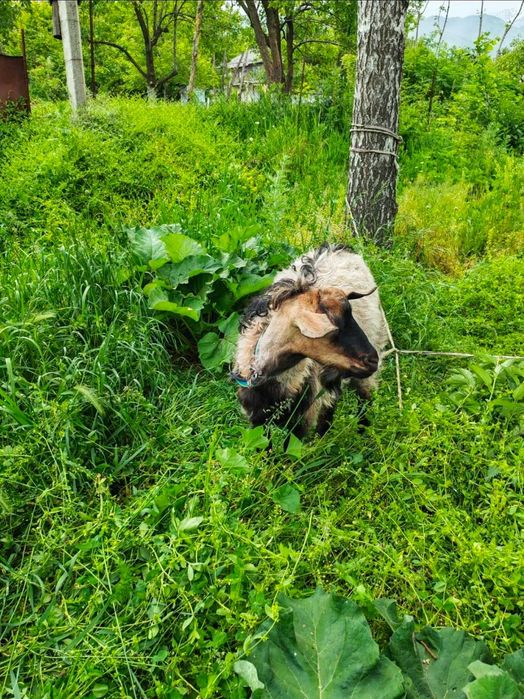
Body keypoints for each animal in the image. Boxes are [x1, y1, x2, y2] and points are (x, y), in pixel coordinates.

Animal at [231, 244, 388, 439]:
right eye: (333, 329)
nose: (372, 360)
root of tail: (338, 247)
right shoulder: (257, 421)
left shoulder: (301, 423)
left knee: (364, 397)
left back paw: (364, 432)